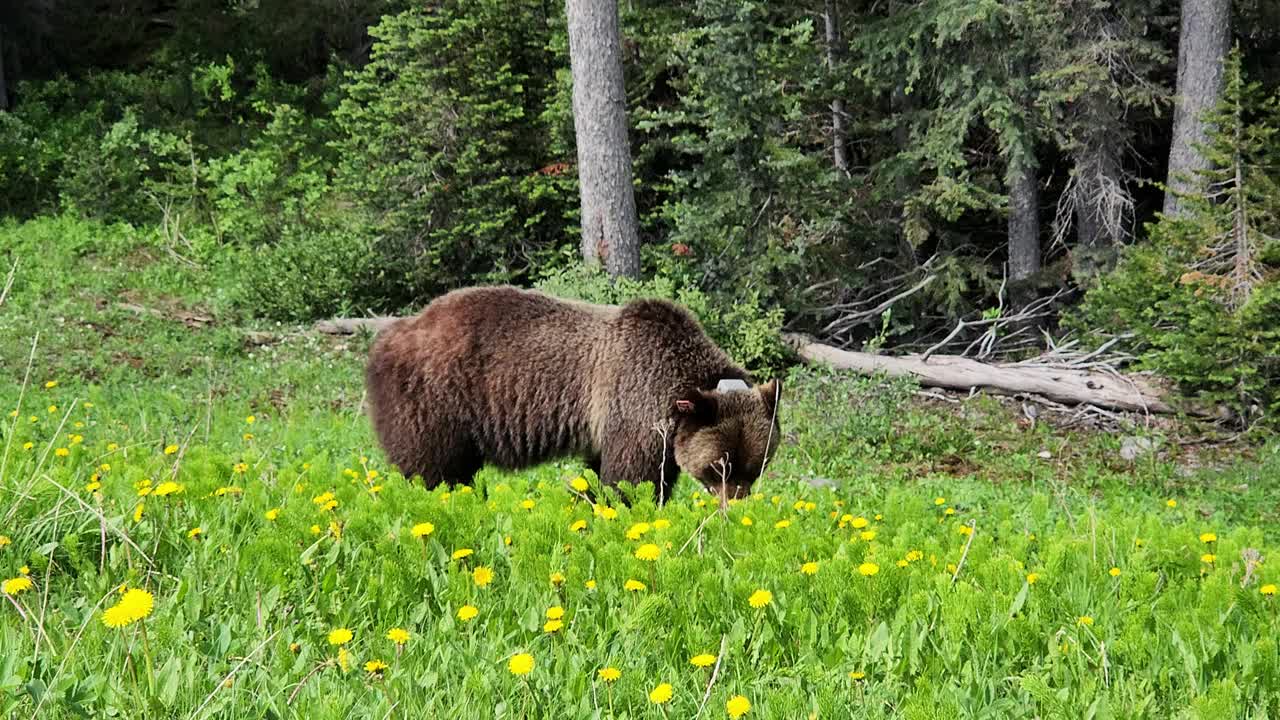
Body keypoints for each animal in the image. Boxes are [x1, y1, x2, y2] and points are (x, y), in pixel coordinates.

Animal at [363, 284, 778, 499]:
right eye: (719, 465)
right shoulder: (632, 403)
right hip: (436, 400)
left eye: (756, 465)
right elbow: (630, 479)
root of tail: (388, 335)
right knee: (432, 471)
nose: (734, 506)